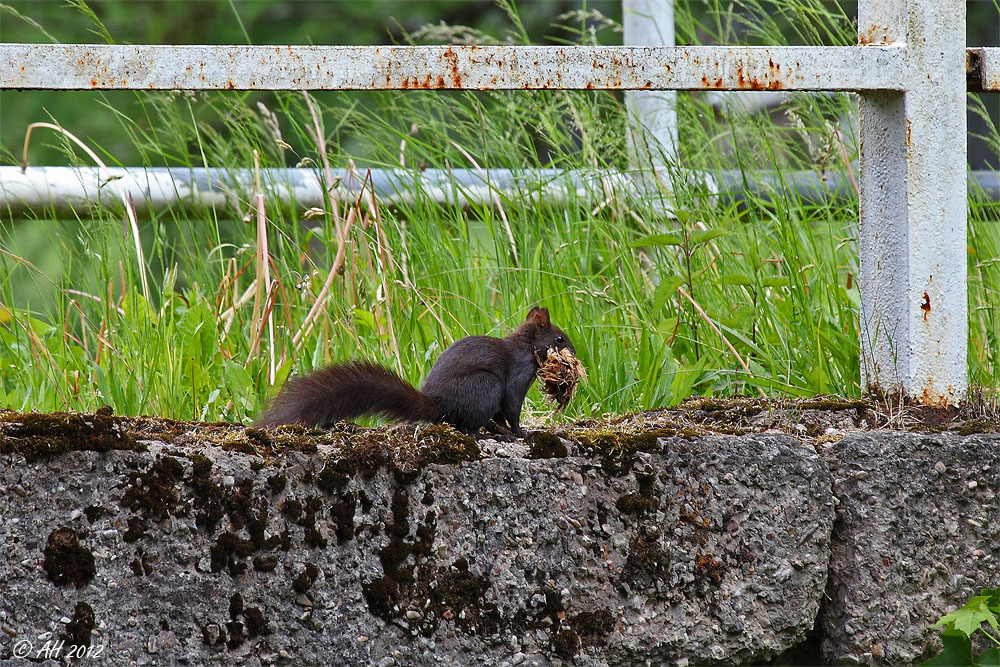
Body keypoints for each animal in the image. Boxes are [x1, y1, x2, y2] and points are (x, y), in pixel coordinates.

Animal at [254, 306, 576, 436]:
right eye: (560, 339)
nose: (575, 353)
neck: (524, 348)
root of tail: (438, 403)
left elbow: (501, 415)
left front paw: (510, 431)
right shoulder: (514, 381)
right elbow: (511, 410)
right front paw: (520, 433)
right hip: (485, 385)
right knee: (469, 428)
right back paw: (492, 436)